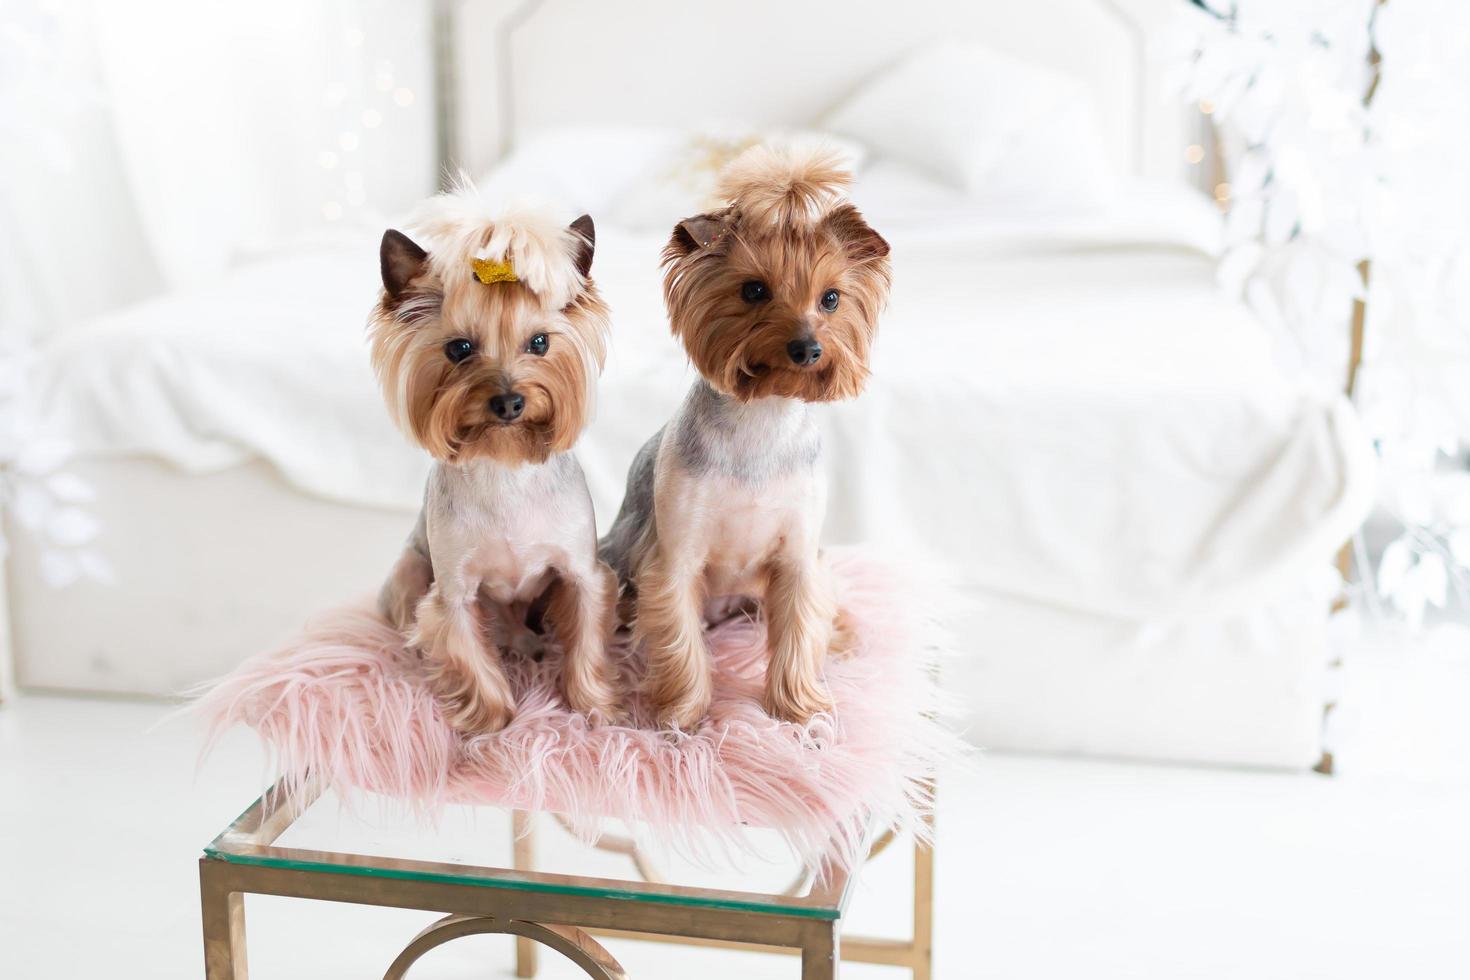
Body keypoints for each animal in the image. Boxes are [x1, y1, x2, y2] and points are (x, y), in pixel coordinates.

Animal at [373, 188, 620, 731]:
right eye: (459, 348)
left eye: (540, 342)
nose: (509, 402)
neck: (504, 465)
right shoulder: (454, 594)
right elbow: (470, 656)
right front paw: (493, 724)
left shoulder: (581, 575)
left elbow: (585, 644)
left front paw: (593, 708)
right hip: (408, 570)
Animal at [599, 145, 893, 728]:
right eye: (754, 290)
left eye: (831, 299)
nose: (807, 348)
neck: (764, 418)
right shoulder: (676, 554)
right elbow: (679, 638)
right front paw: (681, 717)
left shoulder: (800, 556)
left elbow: (799, 631)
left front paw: (801, 714)